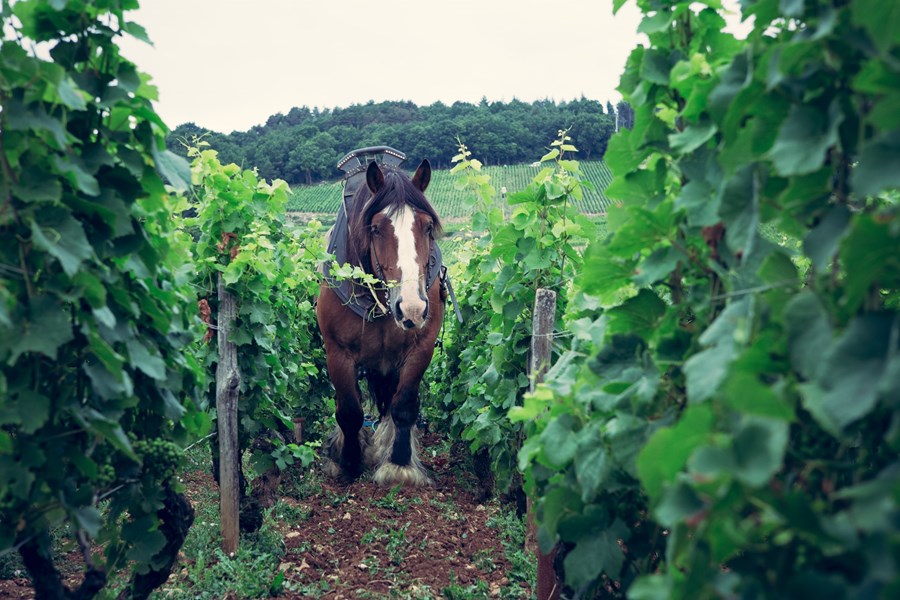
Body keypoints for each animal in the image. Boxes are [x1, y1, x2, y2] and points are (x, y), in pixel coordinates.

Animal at [314, 161, 444, 488]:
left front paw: (399, 466)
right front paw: (348, 462)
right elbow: (349, 411)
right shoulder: (337, 352)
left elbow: (403, 405)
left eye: (427, 227)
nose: (412, 308)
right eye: (375, 229)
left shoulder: (421, 347)